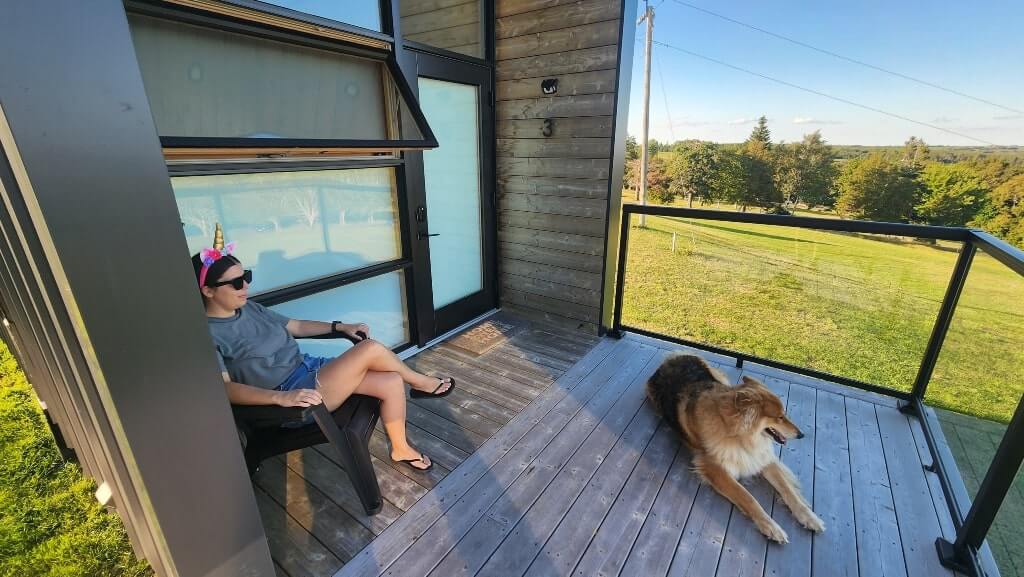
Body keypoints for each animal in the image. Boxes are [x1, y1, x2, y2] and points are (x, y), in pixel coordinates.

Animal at [647, 352, 823, 545]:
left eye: (784, 415)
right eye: (779, 417)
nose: (801, 435)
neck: (738, 435)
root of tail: (672, 357)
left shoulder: (760, 457)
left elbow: (788, 490)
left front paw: (809, 517)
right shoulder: (715, 469)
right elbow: (748, 497)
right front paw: (771, 526)